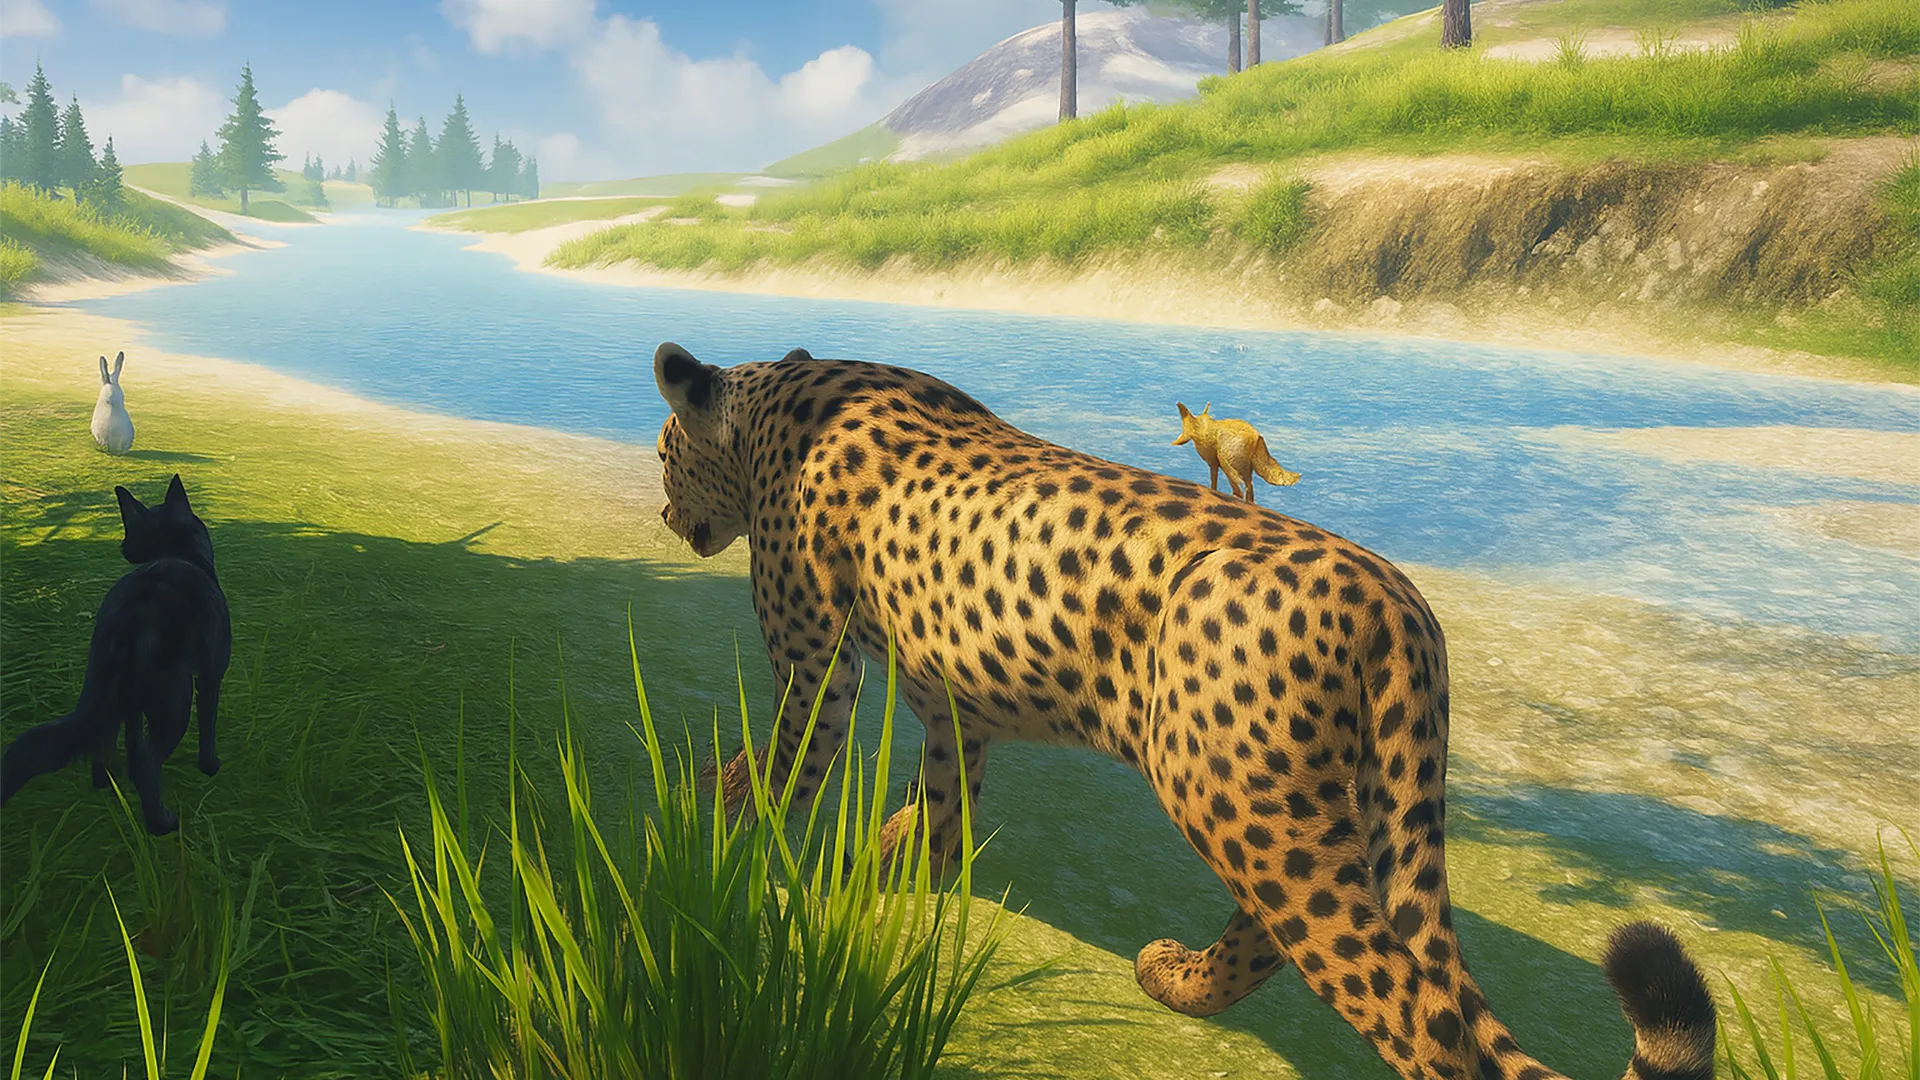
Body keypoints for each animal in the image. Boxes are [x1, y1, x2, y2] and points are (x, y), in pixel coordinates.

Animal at [650, 340, 1718, 1080]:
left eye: (662, 454)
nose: (664, 513)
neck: (775, 407)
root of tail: (1397, 601)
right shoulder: (949, 695)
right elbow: (947, 796)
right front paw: (902, 859)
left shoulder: (814, 658)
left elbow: (790, 758)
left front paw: (718, 814)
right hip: (1312, 800)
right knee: (1295, 938)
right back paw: (1177, 978)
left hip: (1235, 797)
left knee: (1417, 1015)